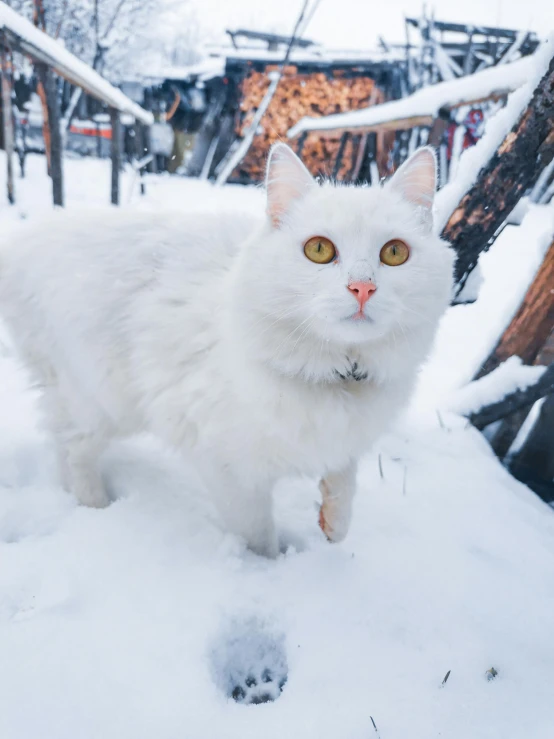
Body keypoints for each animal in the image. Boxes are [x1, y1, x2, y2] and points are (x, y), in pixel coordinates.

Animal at [0, 146, 452, 556]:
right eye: (319, 250)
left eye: (394, 253)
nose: (363, 288)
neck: (337, 373)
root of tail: (25, 239)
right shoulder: (232, 470)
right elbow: (259, 535)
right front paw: (273, 570)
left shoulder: (344, 439)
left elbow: (344, 483)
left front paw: (332, 525)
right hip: (98, 401)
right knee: (73, 449)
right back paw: (95, 506)